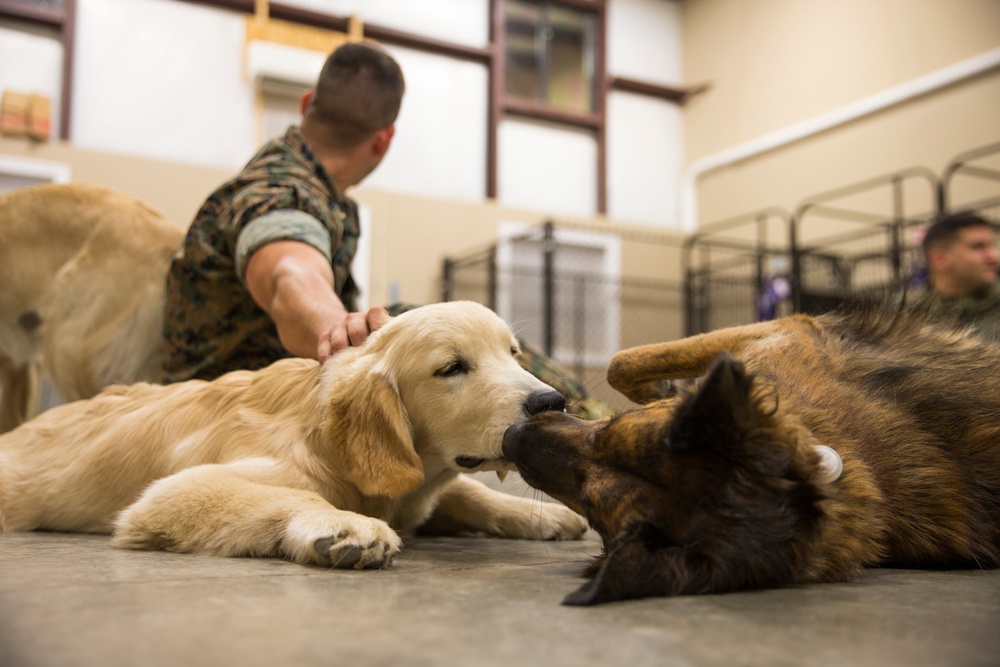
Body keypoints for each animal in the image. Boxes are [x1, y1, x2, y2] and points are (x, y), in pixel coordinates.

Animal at [0, 302, 584, 568]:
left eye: (513, 354)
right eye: (452, 368)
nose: (552, 403)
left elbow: (469, 492)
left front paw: (543, 515)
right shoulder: (169, 494)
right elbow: (295, 494)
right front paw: (344, 525)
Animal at [504, 308, 1000, 604]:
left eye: (588, 502)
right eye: (607, 434)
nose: (510, 437)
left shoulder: (788, 330)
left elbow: (621, 361)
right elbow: (628, 364)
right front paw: (666, 388)